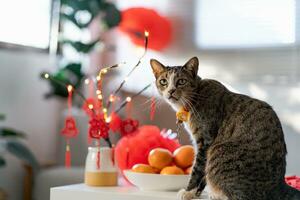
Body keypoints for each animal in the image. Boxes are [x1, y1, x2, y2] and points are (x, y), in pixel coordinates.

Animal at [150, 56, 300, 200]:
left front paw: (188, 192)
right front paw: (197, 193)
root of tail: (279, 185)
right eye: (163, 81)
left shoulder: (205, 141)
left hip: (219, 152)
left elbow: (198, 169)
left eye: (181, 81)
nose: (170, 91)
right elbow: (203, 174)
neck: (195, 97)